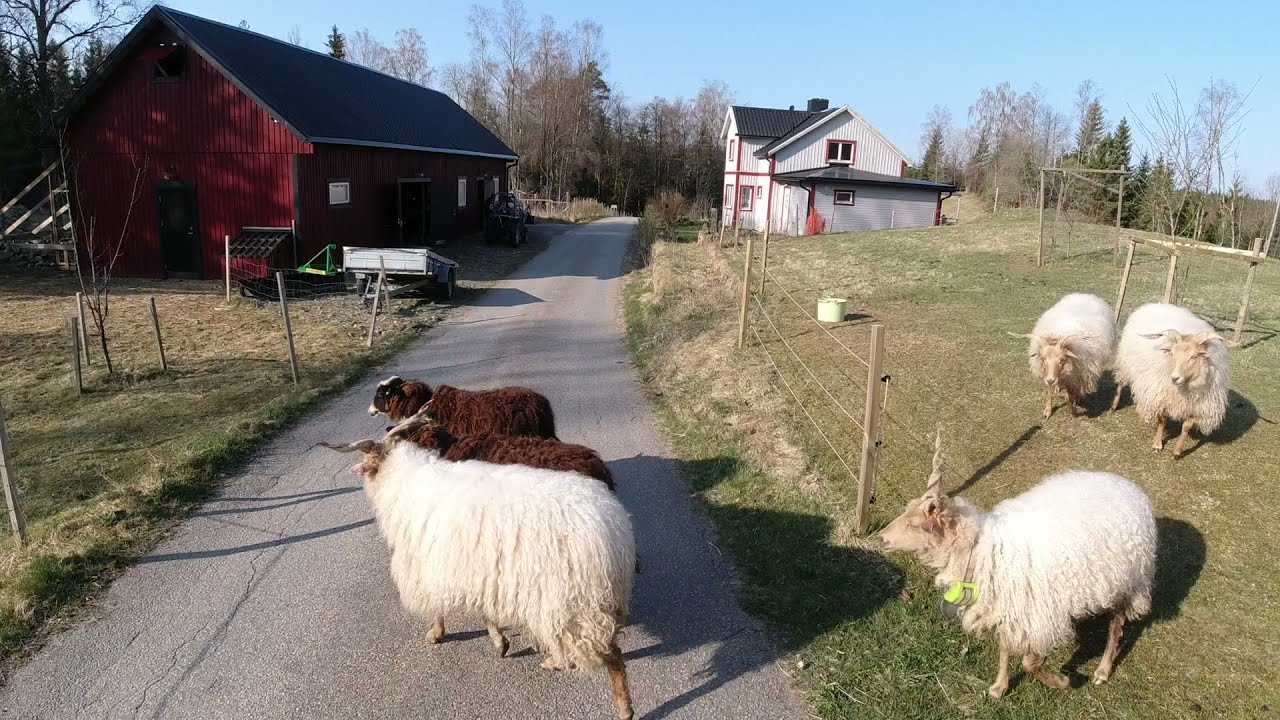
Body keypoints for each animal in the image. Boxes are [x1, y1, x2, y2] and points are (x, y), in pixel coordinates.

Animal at [321, 434, 636, 720]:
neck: (405, 482)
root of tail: (613, 529)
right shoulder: (479, 573)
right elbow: (487, 614)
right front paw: (500, 641)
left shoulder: (434, 566)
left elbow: (439, 608)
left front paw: (437, 634)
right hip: (584, 601)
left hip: (572, 601)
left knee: (612, 658)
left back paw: (622, 707)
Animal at [880, 433, 1156, 699]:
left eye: (914, 525)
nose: (882, 538)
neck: (983, 549)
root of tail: (1129, 487)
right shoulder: (1007, 606)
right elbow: (1006, 648)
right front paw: (999, 687)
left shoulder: (1040, 615)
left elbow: (1028, 663)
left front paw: (1061, 681)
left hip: (1129, 580)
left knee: (1117, 624)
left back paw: (1103, 670)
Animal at [1111, 302, 1230, 457]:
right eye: (1172, 353)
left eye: (1194, 356)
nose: (1174, 378)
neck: (1185, 387)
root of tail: (1156, 304)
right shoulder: (1161, 396)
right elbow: (1163, 420)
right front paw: (1157, 444)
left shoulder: (1196, 405)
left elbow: (1186, 427)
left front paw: (1177, 451)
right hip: (1125, 364)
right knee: (1120, 383)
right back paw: (1114, 406)